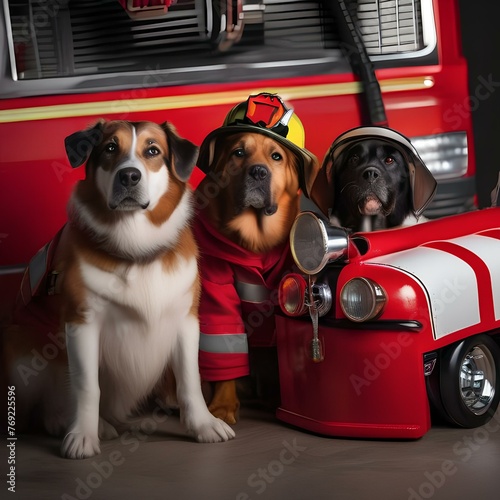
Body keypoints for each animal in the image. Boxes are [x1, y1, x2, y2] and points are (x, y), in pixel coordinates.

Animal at [1, 118, 234, 458]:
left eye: (152, 151)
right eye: (110, 147)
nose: (129, 175)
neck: (137, 250)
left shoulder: (186, 319)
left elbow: (190, 378)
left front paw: (203, 425)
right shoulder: (81, 322)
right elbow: (87, 385)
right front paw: (84, 435)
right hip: (19, 347)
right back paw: (79, 422)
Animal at [193, 92, 318, 424]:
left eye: (276, 157)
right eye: (238, 152)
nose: (258, 172)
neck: (255, 239)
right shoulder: (216, 292)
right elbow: (224, 343)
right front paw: (223, 406)